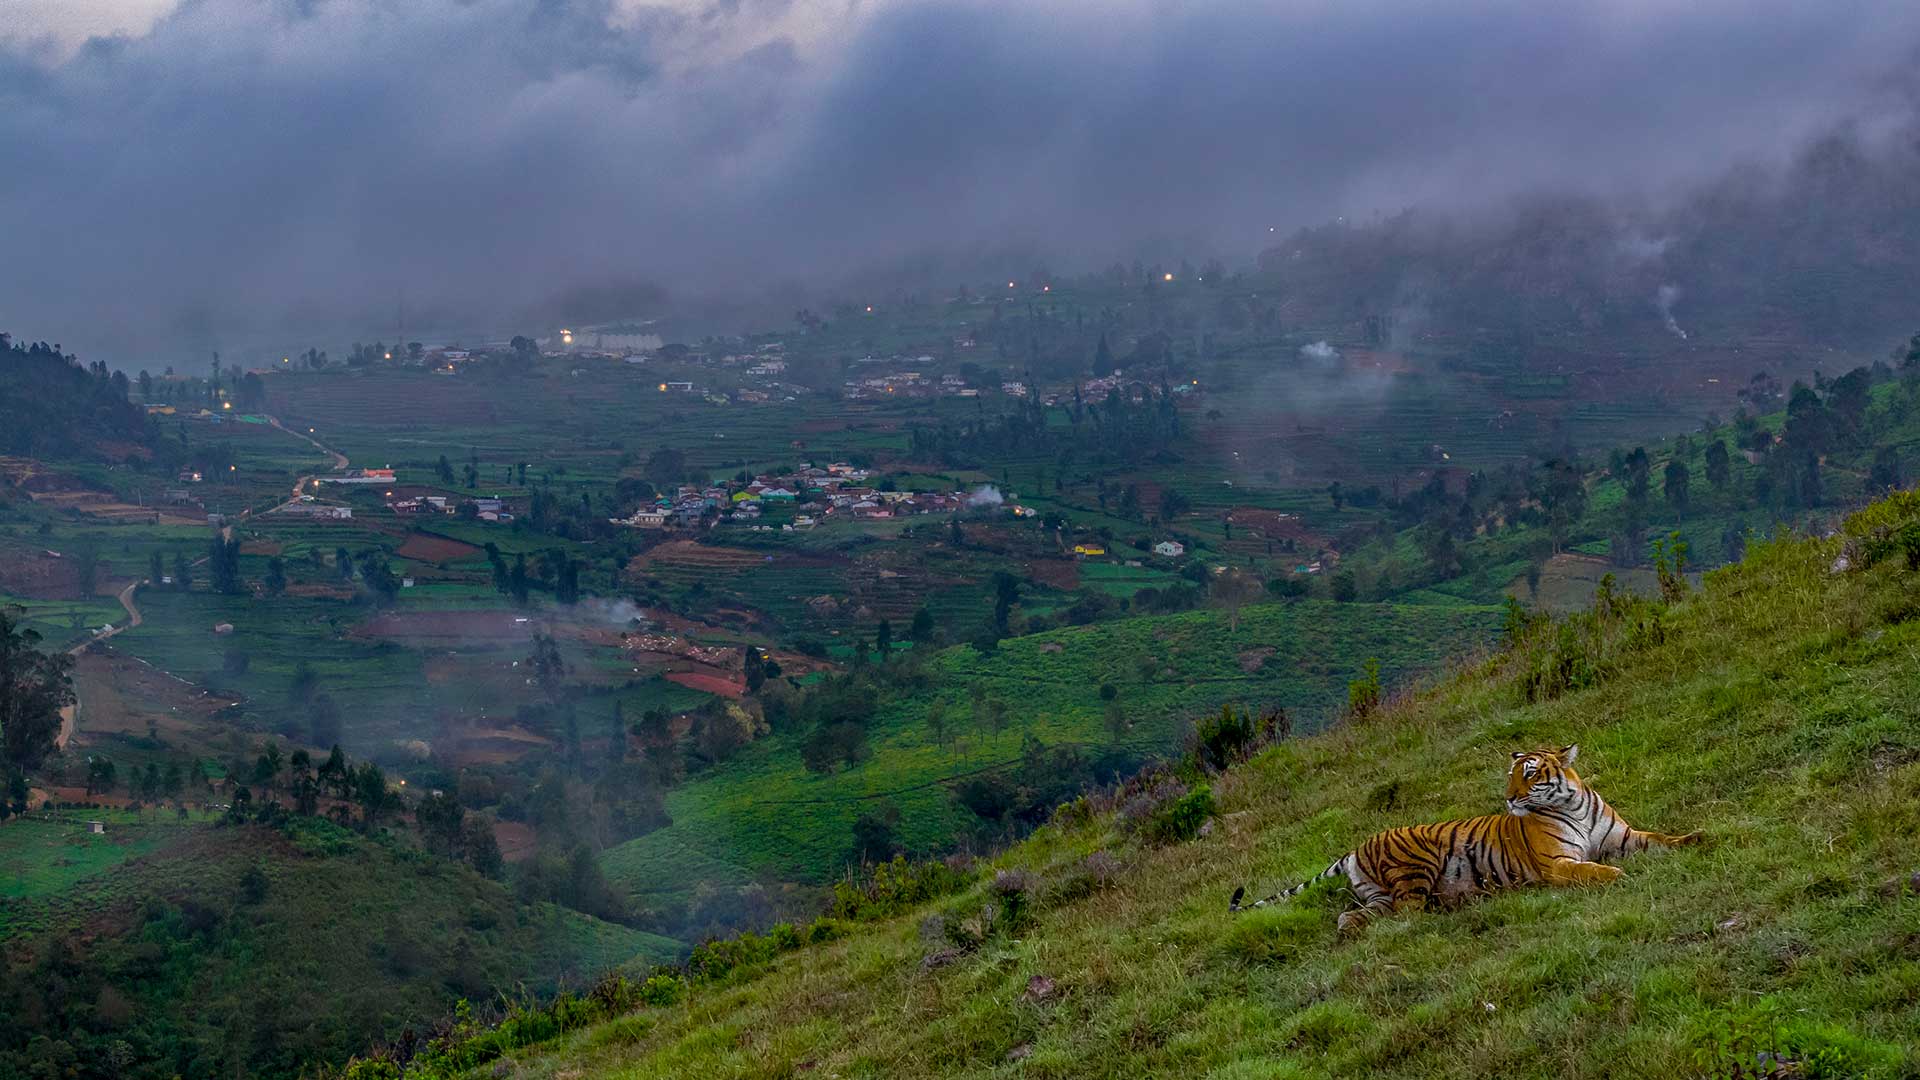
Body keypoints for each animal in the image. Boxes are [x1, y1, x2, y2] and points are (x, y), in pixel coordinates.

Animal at [1228, 745, 1697, 930]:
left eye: (1529, 774)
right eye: (1511, 774)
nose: (1508, 798)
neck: (1571, 804)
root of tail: (1355, 848)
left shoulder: (1623, 836)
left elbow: (1659, 838)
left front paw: (1696, 839)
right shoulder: (1556, 865)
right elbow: (1593, 871)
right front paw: (1616, 875)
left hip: (1375, 895)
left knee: (1355, 917)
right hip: (1417, 868)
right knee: (1408, 914)